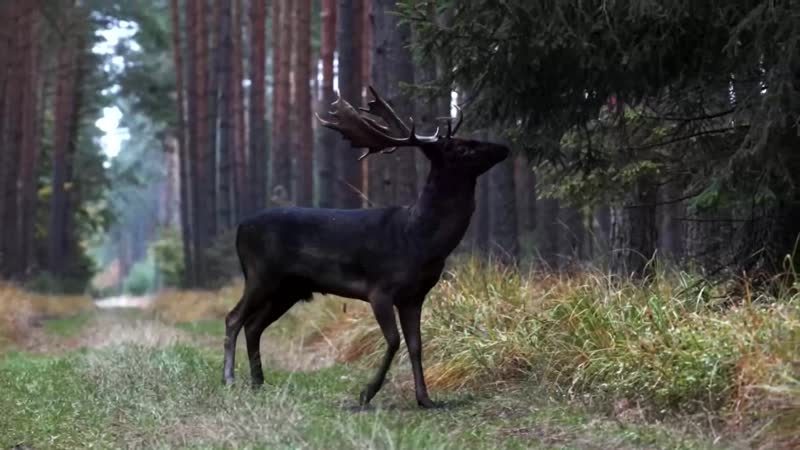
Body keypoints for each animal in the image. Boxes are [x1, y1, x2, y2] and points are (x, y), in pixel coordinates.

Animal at [223, 86, 509, 408]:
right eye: (462, 148)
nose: (504, 147)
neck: (419, 239)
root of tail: (240, 228)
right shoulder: (380, 289)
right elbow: (394, 340)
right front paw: (366, 393)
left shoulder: (414, 296)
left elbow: (416, 344)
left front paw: (425, 399)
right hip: (261, 274)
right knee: (234, 318)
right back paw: (229, 379)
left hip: (290, 288)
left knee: (254, 325)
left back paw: (258, 381)